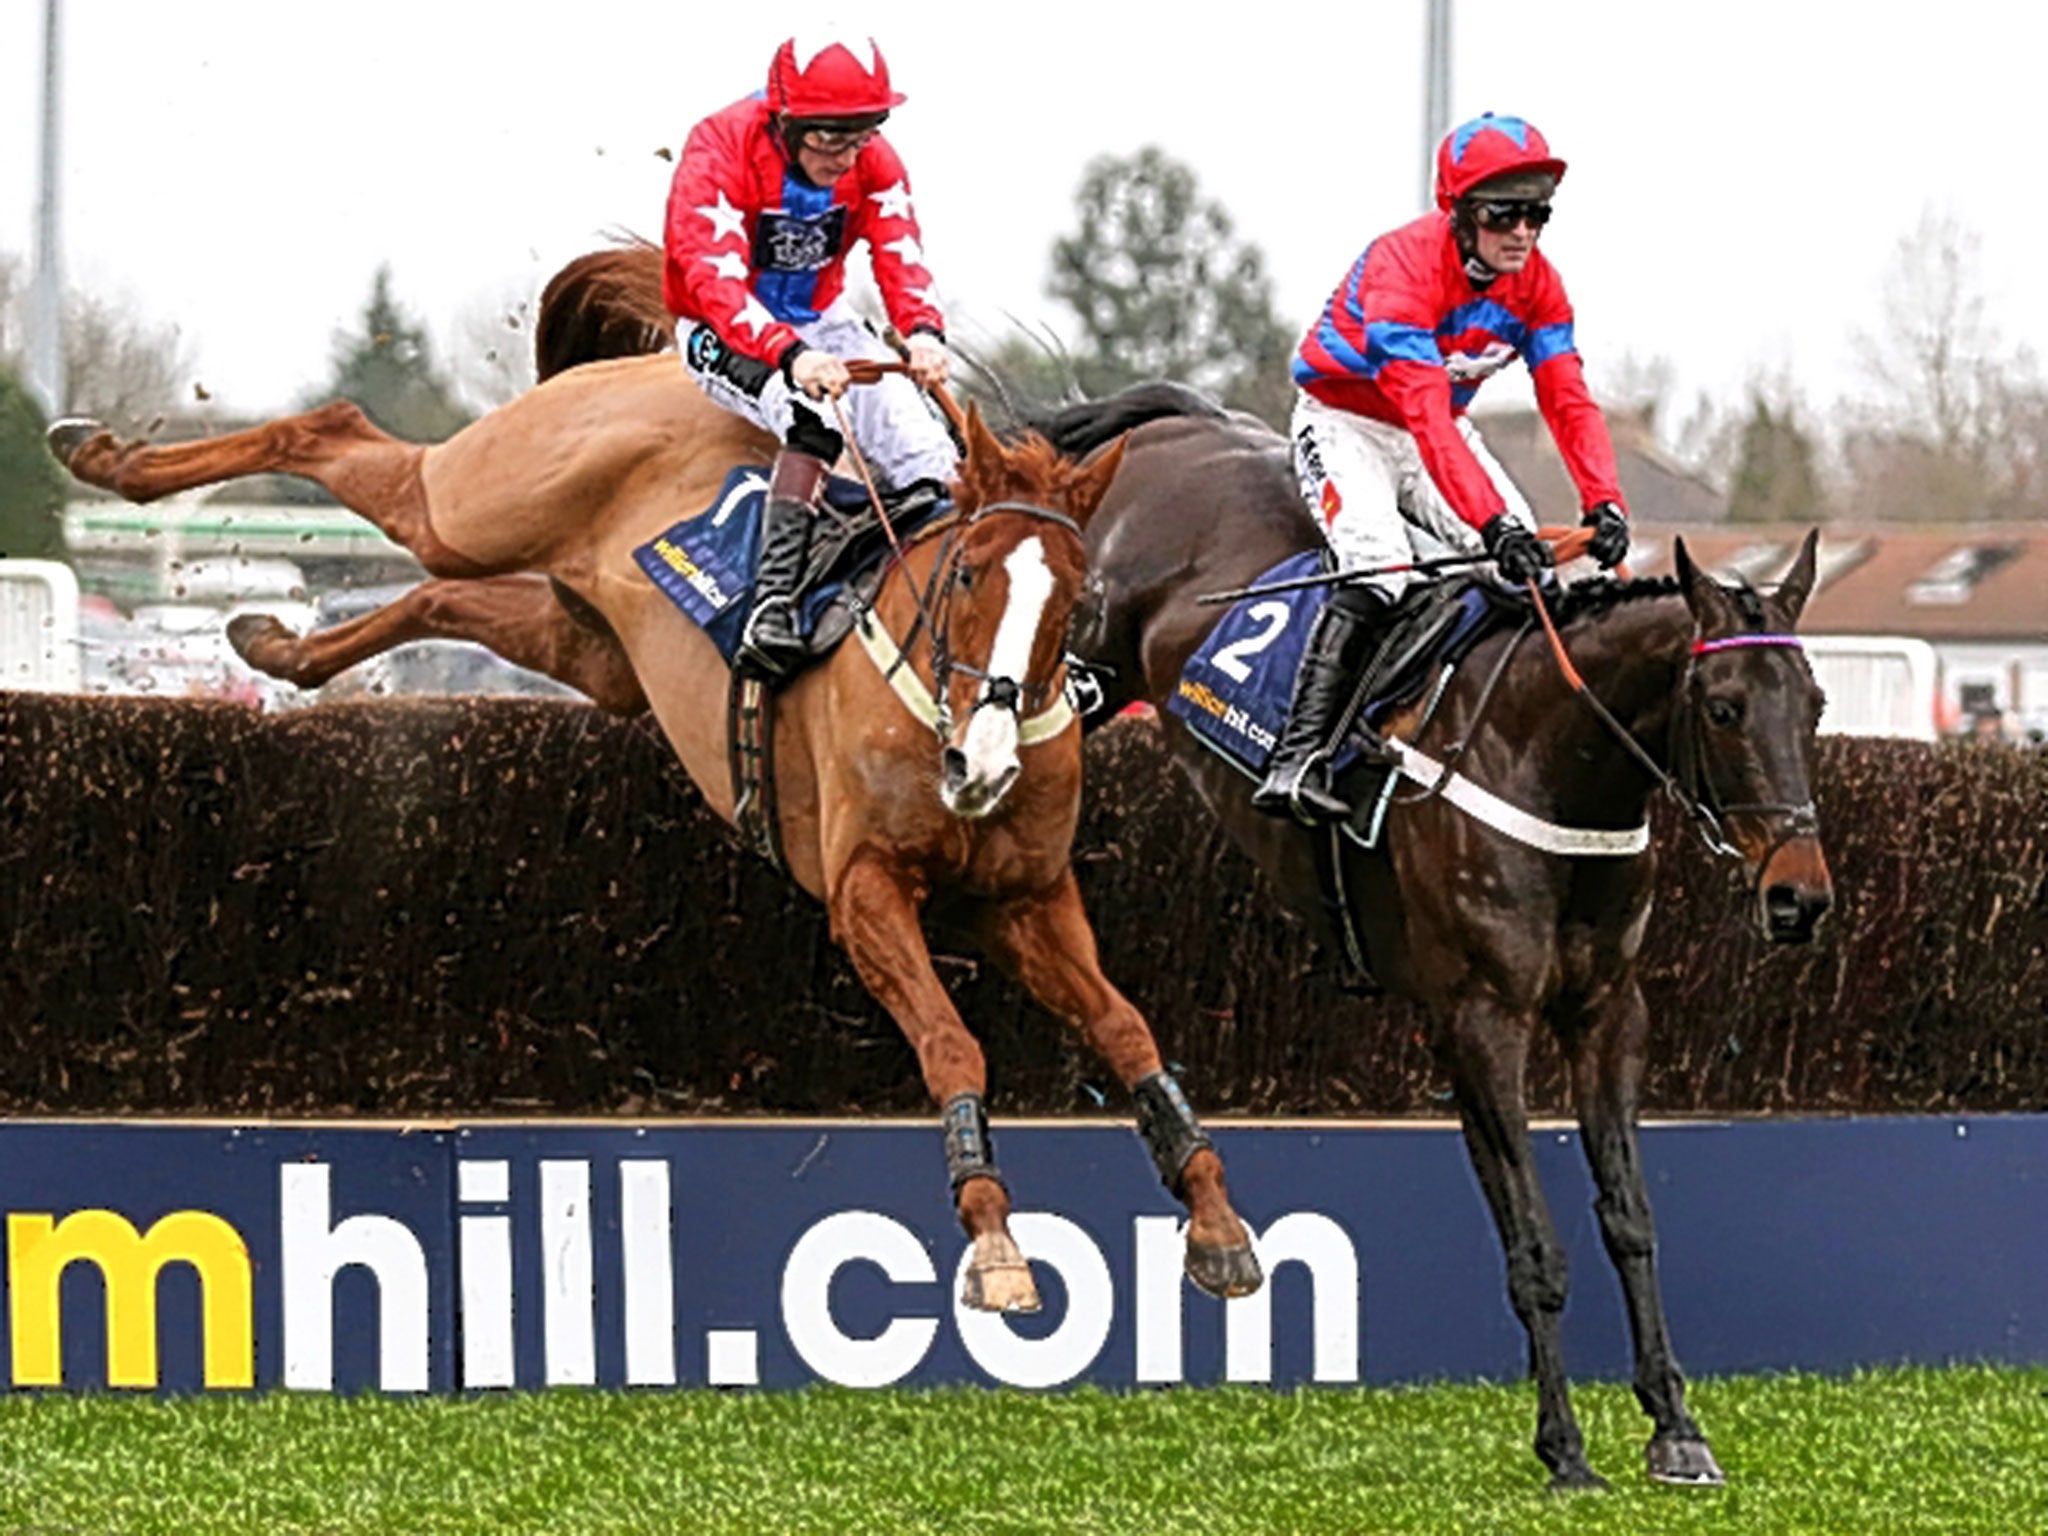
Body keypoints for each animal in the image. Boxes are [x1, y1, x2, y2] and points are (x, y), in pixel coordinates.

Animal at [44, 286, 1261, 1310]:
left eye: (1076, 598)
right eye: (967, 574)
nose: (983, 768)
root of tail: (659, 365)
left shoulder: (1022, 901)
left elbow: (1127, 1028)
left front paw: (1213, 1220)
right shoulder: (865, 894)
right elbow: (955, 1046)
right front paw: (995, 1237)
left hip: (589, 646)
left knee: (440, 593)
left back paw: (276, 643)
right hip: (482, 498)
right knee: (344, 436)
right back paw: (104, 456)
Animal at [1048, 382, 1835, 1490]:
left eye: (1813, 706)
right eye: (1722, 709)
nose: (1798, 897)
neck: (1548, 758)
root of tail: (1177, 418)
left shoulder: (1603, 1014)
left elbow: (1626, 1218)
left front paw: (1674, 1426)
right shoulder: (1482, 1018)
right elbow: (1537, 1246)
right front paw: (1564, 1448)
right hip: (1083, 664)